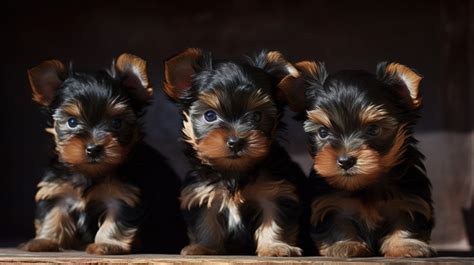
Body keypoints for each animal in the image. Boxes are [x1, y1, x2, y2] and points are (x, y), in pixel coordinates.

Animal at [19, 53, 154, 254]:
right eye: (72, 122)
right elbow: (53, 215)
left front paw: (107, 244)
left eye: (116, 123)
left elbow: (115, 221)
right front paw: (45, 241)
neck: (89, 172)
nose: (93, 148)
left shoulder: (123, 194)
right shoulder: (56, 189)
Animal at [164, 48, 308, 255]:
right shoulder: (201, 192)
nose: (236, 142)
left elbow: (275, 220)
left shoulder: (276, 191)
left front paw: (276, 247)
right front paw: (203, 247)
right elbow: (205, 223)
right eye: (210, 115)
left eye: (256, 116)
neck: (234, 172)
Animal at [282, 60, 434, 256]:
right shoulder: (330, 203)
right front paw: (344, 245)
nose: (345, 161)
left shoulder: (410, 197)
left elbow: (406, 221)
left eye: (373, 129)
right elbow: (338, 224)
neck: (366, 184)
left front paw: (406, 245)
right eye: (323, 132)